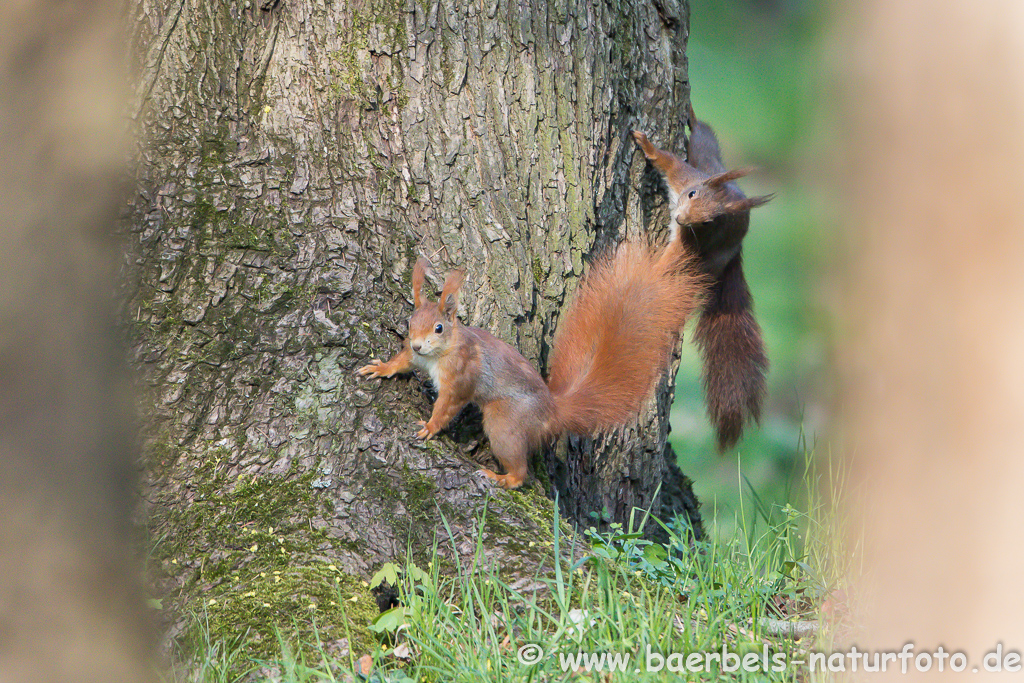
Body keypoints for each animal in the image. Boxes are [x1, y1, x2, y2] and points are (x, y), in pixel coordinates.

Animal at [358, 237, 704, 489]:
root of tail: (553, 412)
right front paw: (381, 368)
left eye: (439, 328)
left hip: (505, 424)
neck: (437, 354)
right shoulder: (414, 356)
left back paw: (501, 478)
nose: (417, 342)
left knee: (519, 471)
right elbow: (402, 361)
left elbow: (450, 404)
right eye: (410, 322)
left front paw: (430, 426)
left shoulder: (462, 374)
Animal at [626, 104, 770, 450]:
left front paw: (647, 273)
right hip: (707, 161)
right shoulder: (684, 176)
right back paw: (692, 116)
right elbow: (666, 160)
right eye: (691, 194)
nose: (679, 218)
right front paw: (646, 144)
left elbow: (668, 262)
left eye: (708, 221)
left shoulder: (692, 242)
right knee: (704, 139)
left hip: (711, 259)